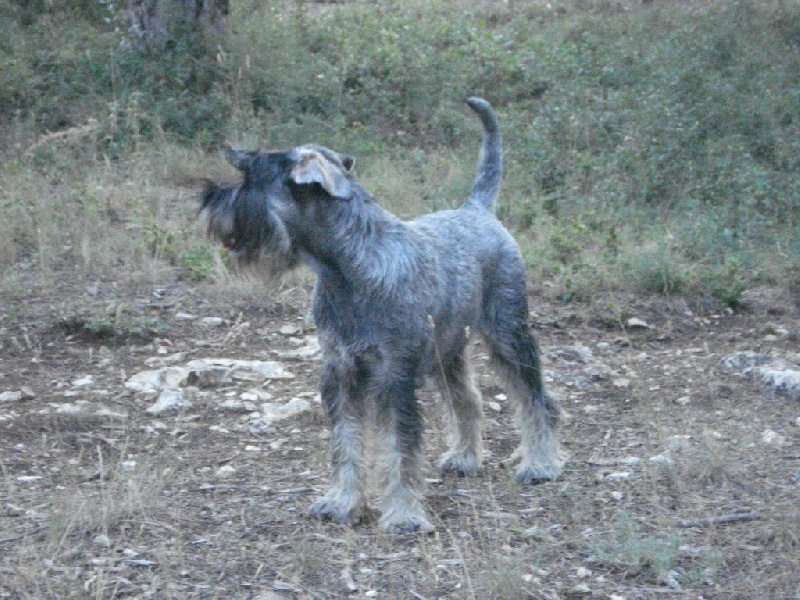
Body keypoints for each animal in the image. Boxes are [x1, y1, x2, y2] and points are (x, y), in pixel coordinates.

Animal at [200, 98, 564, 536]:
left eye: (251, 176)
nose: (209, 200)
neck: (346, 267)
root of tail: (476, 210)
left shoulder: (395, 375)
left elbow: (399, 447)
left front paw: (404, 515)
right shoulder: (341, 371)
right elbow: (346, 443)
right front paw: (341, 501)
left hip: (508, 332)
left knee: (536, 398)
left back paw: (540, 464)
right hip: (447, 350)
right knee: (467, 399)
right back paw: (464, 456)